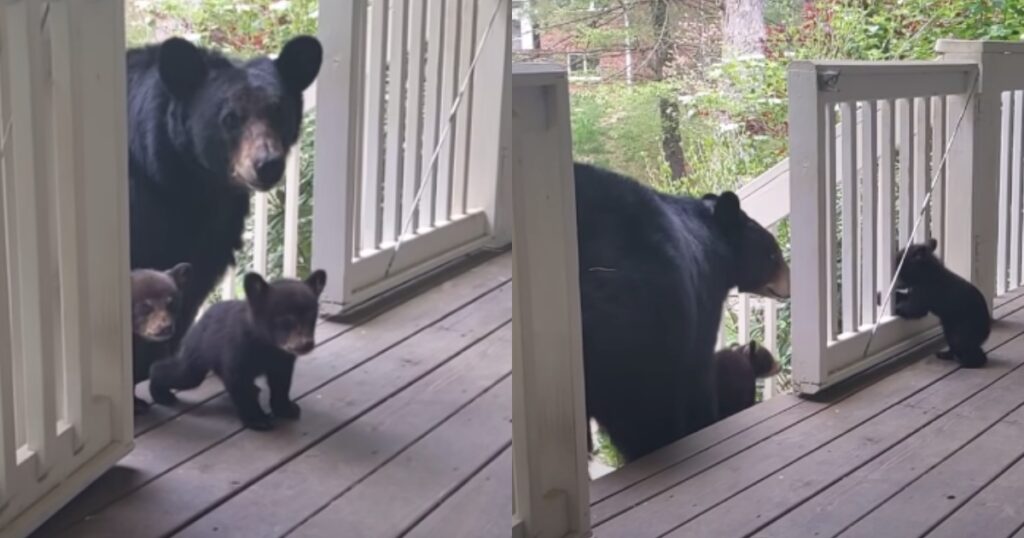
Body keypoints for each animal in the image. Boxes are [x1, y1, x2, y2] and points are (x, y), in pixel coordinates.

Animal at [130, 262, 190, 414]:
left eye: (171, 303)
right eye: (145, 306)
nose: (166, 327)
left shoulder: (159, 348)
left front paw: (163, 395)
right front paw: (136, 405)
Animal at [149, 270, 325, 430]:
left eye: (312, 317)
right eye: (286, 319)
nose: (306, 344)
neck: (267, 344)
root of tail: (199, 321)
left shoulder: (282, 359)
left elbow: (281, 382)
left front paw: (285, 408)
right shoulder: (237, 350)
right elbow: (239, 382)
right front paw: (257, 419)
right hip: (197, 352)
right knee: (181, 373)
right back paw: (160, 393)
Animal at [888, 237, 991, 366]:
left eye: (899, 270)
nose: (894, 283)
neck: (928, 272)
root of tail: (987, 329)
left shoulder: (922, 297)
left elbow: (912, 309)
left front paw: (896, 308)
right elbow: (903, 297)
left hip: (962, 334)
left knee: (971, 351)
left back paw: (968, 363)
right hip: (950, 331)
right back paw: (947, 355)